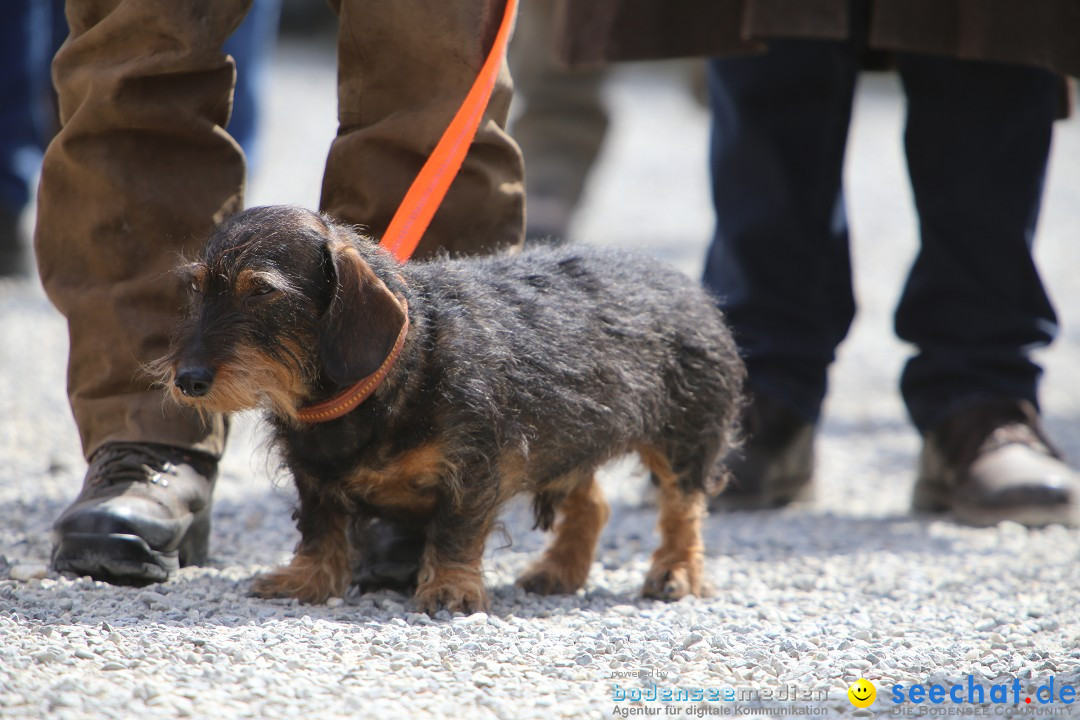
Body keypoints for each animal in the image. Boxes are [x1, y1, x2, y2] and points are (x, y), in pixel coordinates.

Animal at [154, 204, 743, 613]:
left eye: (261, 292)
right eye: (196, 288)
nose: (188, 380)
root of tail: (684, 282)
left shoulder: (475, 467)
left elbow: (456, 531)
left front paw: (451, 590)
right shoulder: (313, 476)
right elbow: (320, 530)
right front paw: (305, 580)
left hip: (683, 436)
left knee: (682, 509)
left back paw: (675, 573)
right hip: (571, 433)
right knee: (594, 505)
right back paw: (559, 570)